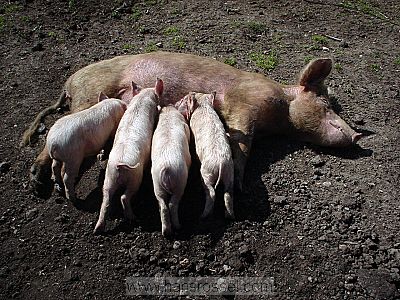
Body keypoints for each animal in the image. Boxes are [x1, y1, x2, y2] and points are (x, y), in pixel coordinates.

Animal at [25, 51, 362, 192]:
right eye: (324, 104)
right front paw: (240, 184)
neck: (278, 119)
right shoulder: (245, 103)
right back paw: (36, 179)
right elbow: (241, 141)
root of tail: (69, 83)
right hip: (88, 94)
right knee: (53, 133)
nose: (358, 136)